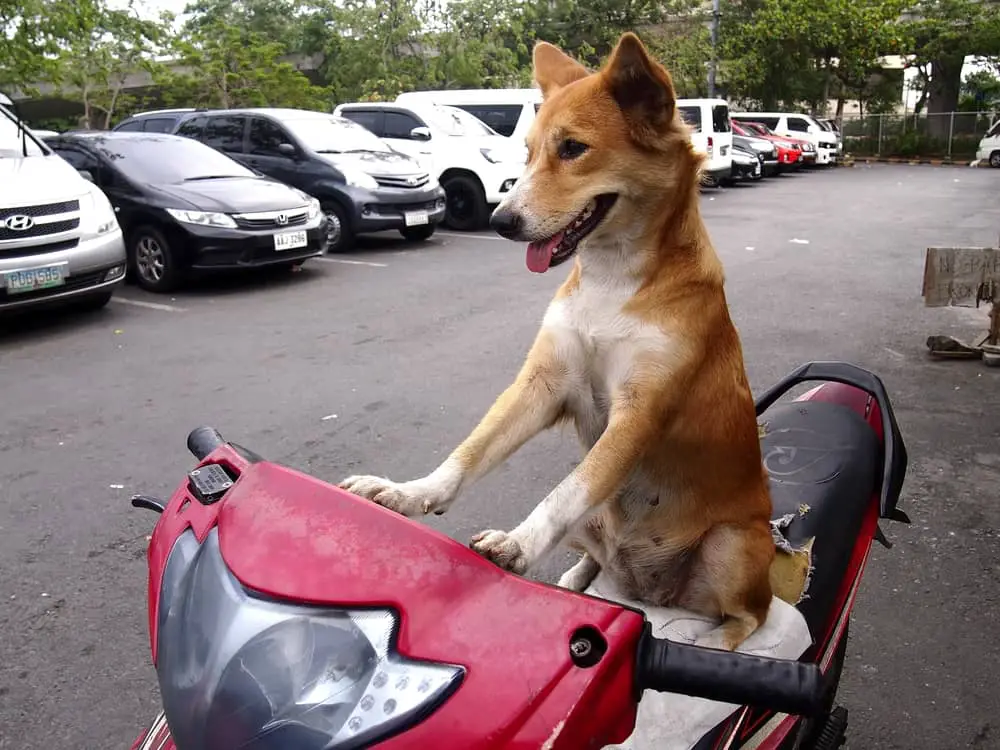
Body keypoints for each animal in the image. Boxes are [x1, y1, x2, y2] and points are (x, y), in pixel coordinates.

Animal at [342, 30, 772, 652]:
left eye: (573, 148)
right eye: (527, 152)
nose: (499, 221)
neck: (610, 282)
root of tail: (652, 591)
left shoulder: (640, 413)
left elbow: (565, 490)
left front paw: (518, 542)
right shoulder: (542, 384)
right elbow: (469, 454)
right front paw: (407, 492)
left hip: (733, 544)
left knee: (746, 618)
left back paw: (711, 646)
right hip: (601, 523)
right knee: (599, 560)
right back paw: (578, 576)